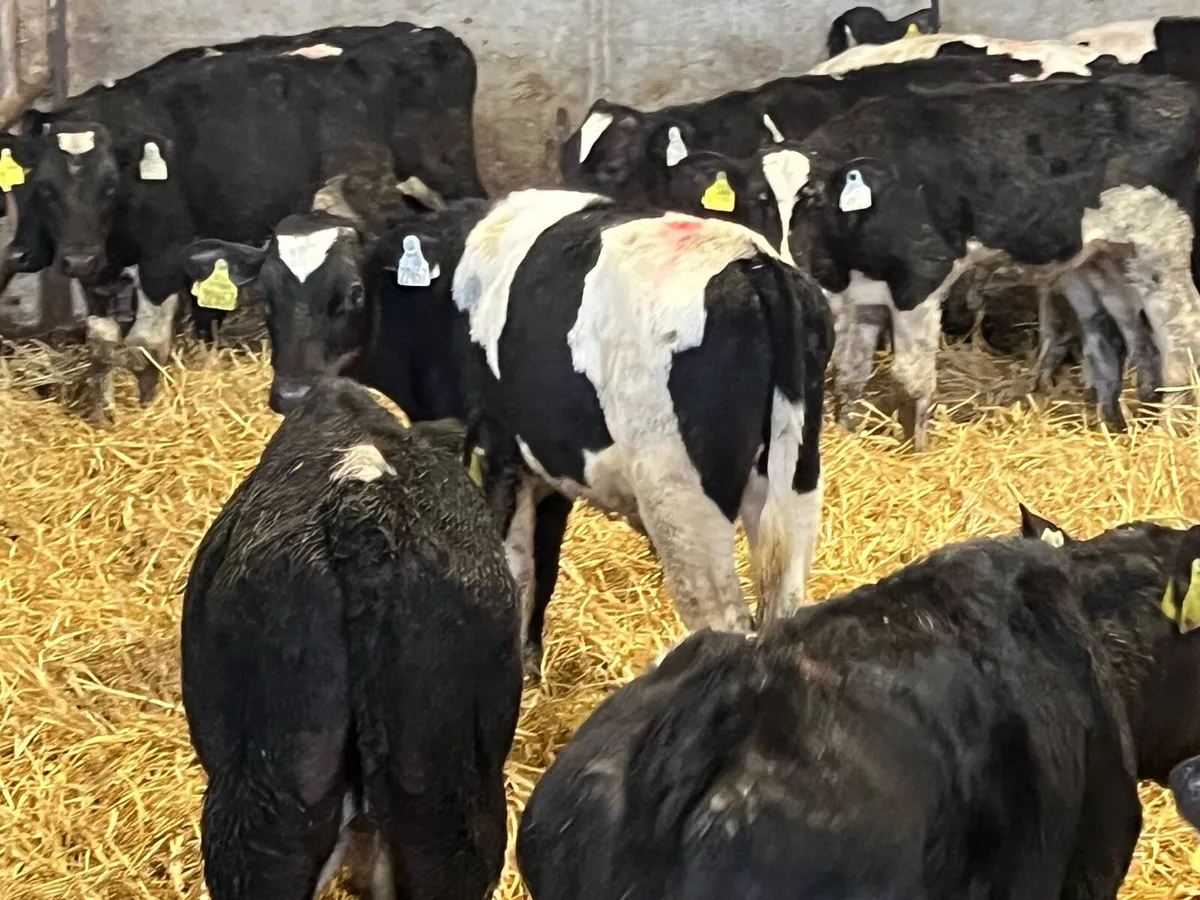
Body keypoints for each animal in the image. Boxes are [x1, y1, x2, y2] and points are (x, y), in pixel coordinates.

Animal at [0, 21, 483, 424]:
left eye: (109, 186)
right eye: (42, 188)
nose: (74, 259)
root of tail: (430, 33)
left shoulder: (163, 258)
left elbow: (145, 348)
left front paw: (145, 411)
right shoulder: (97, 270)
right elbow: (102, 346)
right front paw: (102, 416)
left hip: (442, 179)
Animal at [179, 188, 834, 679]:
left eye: (353, 293)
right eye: (267, 296)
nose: (291, 394)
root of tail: (752, 262)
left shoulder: (493, 452)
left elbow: (513, 570)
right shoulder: (546, 467)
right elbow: (541, 570)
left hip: (681, 500)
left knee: (723, 619)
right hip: (794, 480)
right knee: (782, 607)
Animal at [781, 74, 1200, 448]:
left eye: (811, 198)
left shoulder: (922, 277)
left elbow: (911, 378)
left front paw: (915, 449)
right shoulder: (861, 294)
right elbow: (849, 372)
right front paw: (846, 430)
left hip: (1163, 249)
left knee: (1182, 339)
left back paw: (1170, 429)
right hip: (1108, 257)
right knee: (1116, 338)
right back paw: (1115, 423)